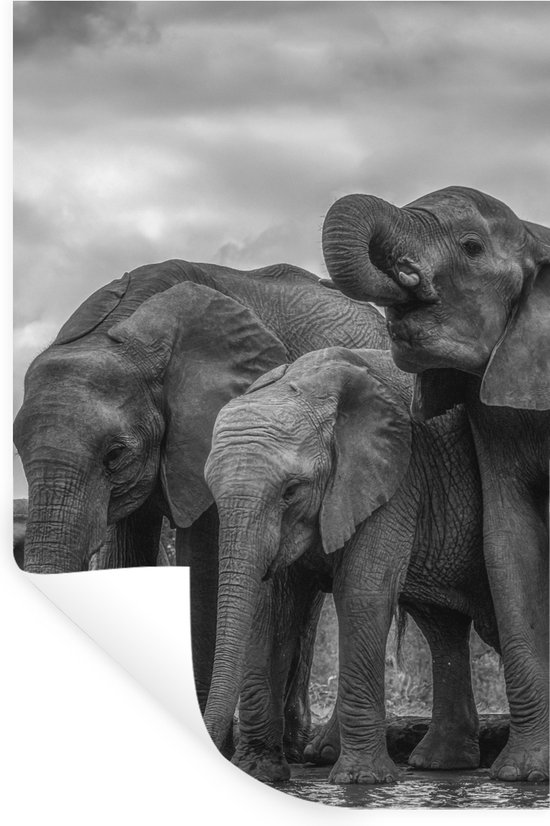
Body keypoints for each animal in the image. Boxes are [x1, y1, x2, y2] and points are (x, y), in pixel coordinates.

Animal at [203, 346, 499, 784]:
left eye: (291, 490)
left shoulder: (396, 476)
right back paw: (439, 764)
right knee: (441, 625)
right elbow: (272, 607)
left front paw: (361, 780)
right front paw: (260, 772)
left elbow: (362, 592)